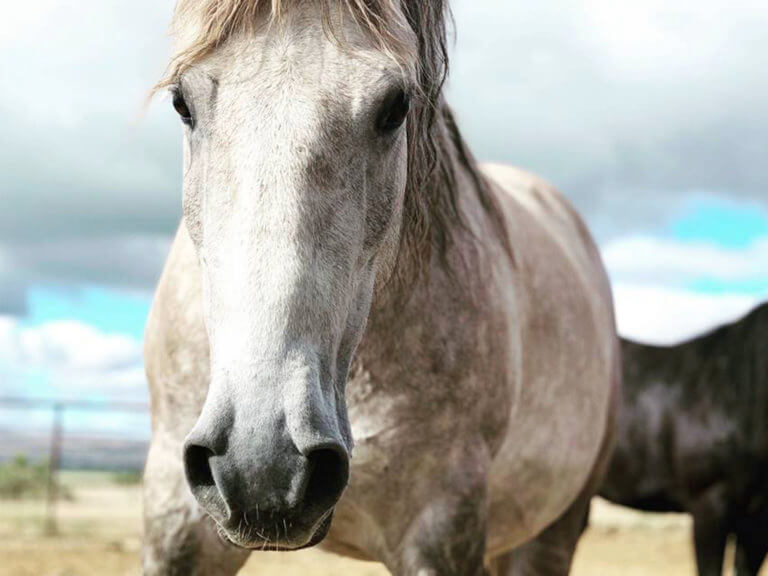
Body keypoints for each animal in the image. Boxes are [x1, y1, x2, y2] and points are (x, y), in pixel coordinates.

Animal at [144, 2, 620, 572]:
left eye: (395, 107)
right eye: (181, 102)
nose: (262, 467)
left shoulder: (439, 524)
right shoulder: (177, 520)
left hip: (552, 529)